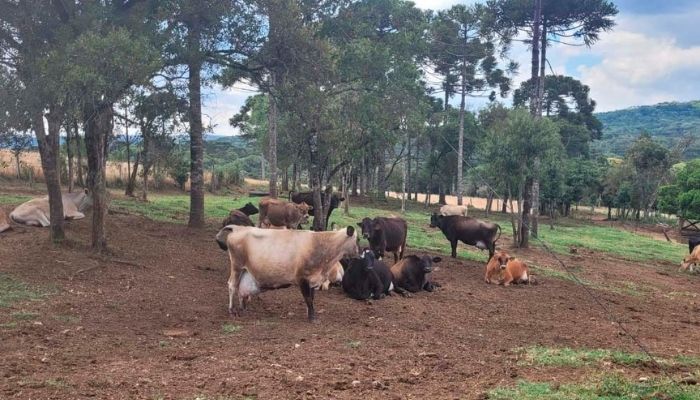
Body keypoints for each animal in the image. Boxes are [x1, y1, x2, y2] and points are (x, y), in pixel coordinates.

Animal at [215, 225, 358, 322]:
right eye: (357, 239)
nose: (360, 253)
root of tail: (238, 228)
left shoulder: (312, 278)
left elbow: (312, 298)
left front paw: (310, 314)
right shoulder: (302, 278)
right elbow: (308, 298)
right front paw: (312, 318)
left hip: (244, 270)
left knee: (240, 288)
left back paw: (243, 308)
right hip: (237, 266)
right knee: (232, 285)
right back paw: (231, 310)